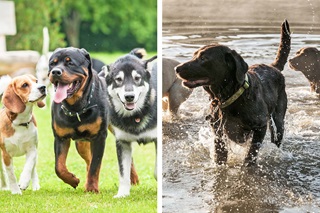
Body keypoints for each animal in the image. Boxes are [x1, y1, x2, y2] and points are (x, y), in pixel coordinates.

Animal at [47, 47, 107, 193]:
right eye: (52, 63)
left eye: (70, 63)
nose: (56, 72)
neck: (75, 107)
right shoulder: (60, 137)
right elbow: (59, 166)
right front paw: (72, 180)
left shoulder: (99, 137)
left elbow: (95, 165)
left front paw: (92, 188)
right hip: (81, 143)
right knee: (88, 159)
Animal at [102, 49, 158, 197]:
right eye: (118, 80)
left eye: (137, 78)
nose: (129, 97)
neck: (136, 115)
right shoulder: (122, 143)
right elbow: (123, 173)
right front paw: (122, 193)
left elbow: (157, 171)